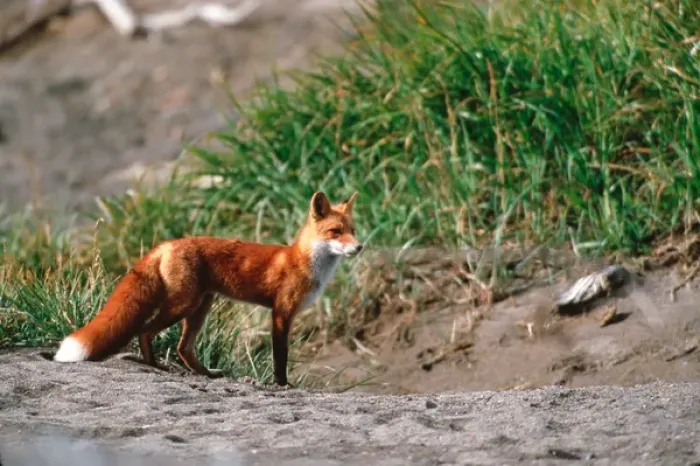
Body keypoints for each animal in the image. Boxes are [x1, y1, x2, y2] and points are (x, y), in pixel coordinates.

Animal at [53, 190, 363, 386]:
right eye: (336, 232)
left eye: (353, 230)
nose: (360, 247)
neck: (303, 262)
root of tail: (168, 244)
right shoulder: (281, 313)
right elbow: (280, 357)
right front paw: (283, 385)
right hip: (183, 304)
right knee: (146, 330)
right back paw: (154, 365)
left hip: (200, 307)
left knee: (183, 348)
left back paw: (206, 374)